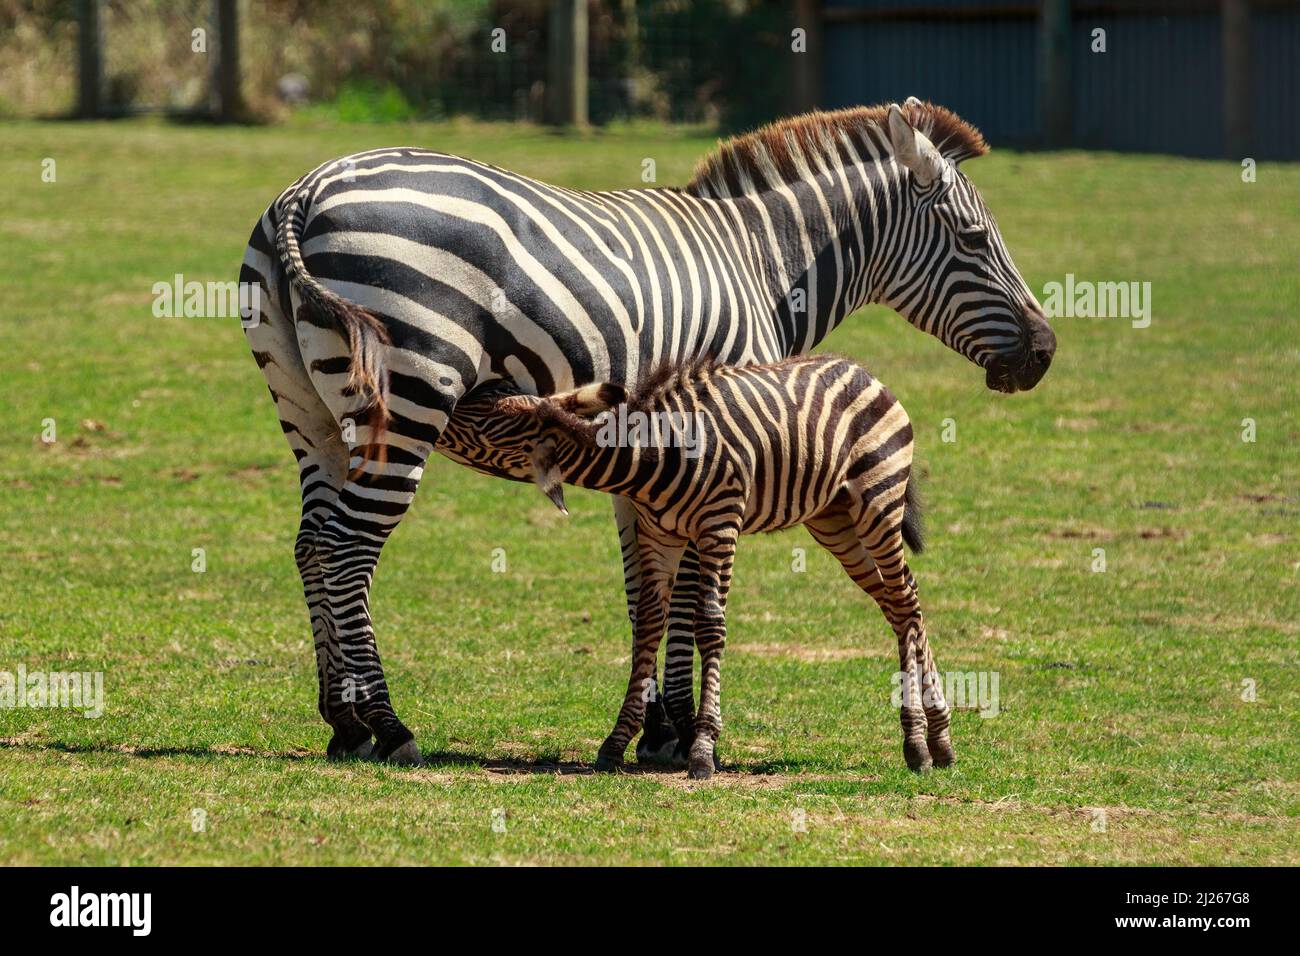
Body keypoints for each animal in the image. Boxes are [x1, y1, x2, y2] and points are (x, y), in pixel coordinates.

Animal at [483, 356, 951, 780]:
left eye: (490, 421)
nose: (479, 393)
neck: (654, 453)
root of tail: (864, 372)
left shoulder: (719, 524)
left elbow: (708, 624)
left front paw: (703, 749)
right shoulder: (658, 536)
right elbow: (648, 624)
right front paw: (617, 742)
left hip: (878, 500)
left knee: (904, 600)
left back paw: (919, 743)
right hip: (834, 520)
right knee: (900, 602)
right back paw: (939, 739)